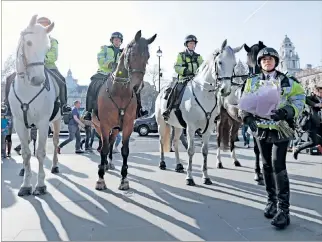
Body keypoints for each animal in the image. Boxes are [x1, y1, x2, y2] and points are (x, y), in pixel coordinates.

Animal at [8, 14, 61, 197]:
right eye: (29, 43)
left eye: (48, 48)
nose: (38, 80)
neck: (27, 89)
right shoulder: (18, 123)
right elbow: (26, 154)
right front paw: (25, 184)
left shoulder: (44, 122)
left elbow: (40, 153)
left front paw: (40, 184)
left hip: (56, 121)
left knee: (56, 142)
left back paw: (55, 166)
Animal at [91, 30, 157, 191]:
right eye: (132, 54)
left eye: (148, 57)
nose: (137, 86)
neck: (119, 92)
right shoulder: (104, 125)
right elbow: (104, 148)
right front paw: (100, 179)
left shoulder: (127, 125)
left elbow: (124, 150)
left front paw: (124, 179)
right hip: (97, 125)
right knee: (103, 144)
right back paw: (102, 165)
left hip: (115, 128)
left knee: (110, 143)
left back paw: (108, 163)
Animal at [155, 39, 243, 185]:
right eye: (220, 62)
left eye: (234, 64)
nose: (225, 90)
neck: (204, 93)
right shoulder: (191, 128)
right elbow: (191, 151)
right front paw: (189, 177)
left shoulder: (208, 128)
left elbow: (205, 151)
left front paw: (206, 176)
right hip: (162, 124)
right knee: (162, 141)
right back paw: (162, 163)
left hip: (178, 126)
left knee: (175, 142)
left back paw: (178, 165)